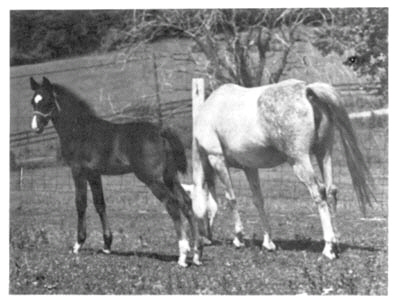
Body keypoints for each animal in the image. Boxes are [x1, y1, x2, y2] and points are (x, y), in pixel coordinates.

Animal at [29, 77, 201, 264]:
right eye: (33, 102)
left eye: (47, 101)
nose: (35, 127)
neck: (80, 130)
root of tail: (161, 131)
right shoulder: (94, 174)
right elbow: (100, 204)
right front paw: (107, 245)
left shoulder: (78, 171)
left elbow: (80, 203)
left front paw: (77, 245)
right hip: (170, 177)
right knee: (186, 202)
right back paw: (197, 254)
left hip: (152, 179)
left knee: (171, 204)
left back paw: (183, 255)